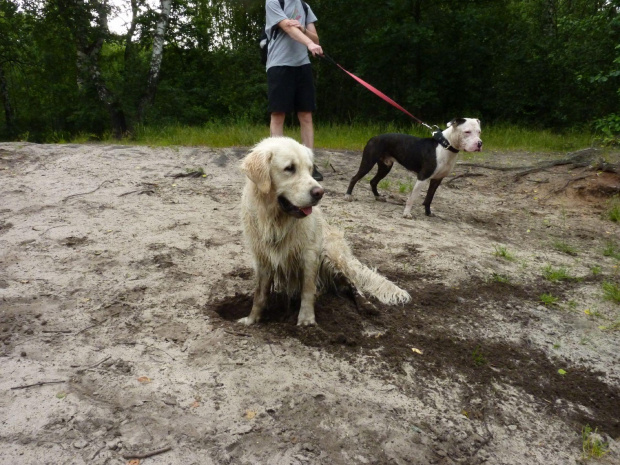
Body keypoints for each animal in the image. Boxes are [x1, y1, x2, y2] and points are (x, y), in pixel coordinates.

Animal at [344, 117, 484, 217]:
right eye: (467, 132)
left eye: (479, 132)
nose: (479, 143)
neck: (445, 145)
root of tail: (373, 137)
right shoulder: (422, 177)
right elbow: (412, 198)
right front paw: (407, 213)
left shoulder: (437, 180)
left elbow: (429, 198)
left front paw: (428, 213)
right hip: (368, 163)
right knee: (354, 178)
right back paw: (348, 195)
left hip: (385, 167)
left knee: (373, 181)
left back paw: (378, 196)